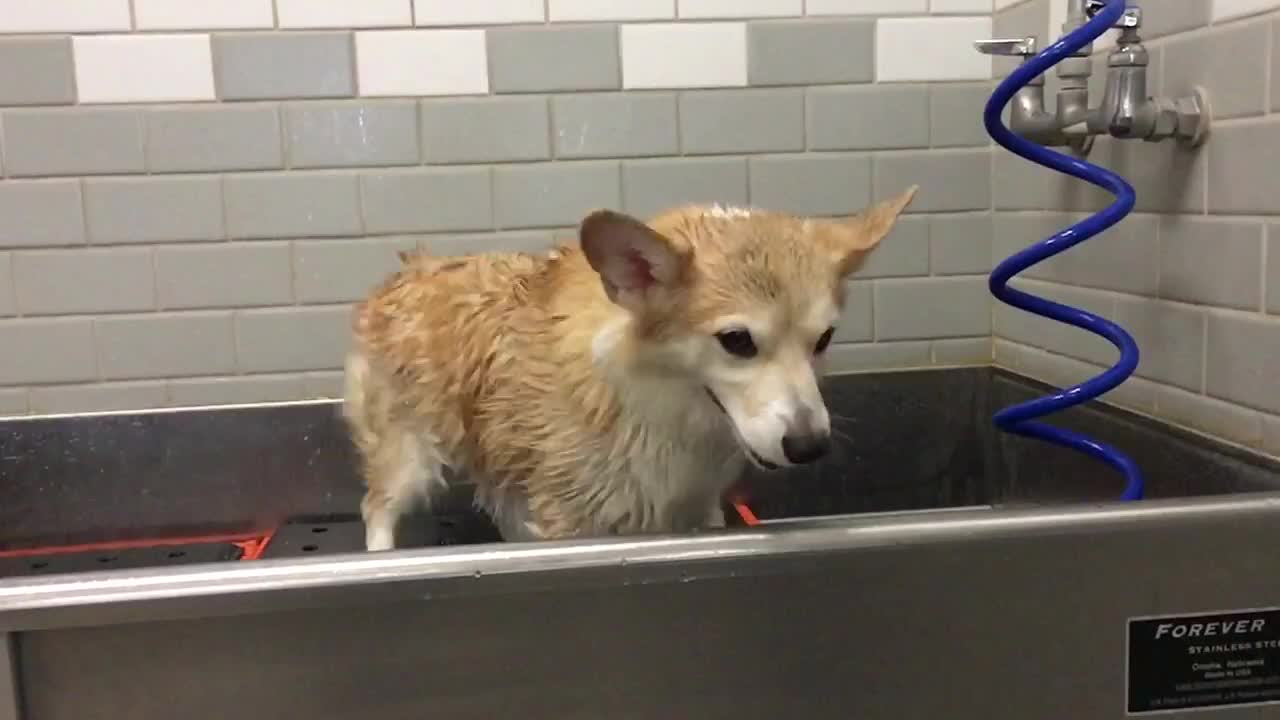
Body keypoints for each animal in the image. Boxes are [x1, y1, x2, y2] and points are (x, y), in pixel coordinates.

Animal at [345, 184, 916, 548]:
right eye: (736, 341)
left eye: (824, 338)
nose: (809, 445)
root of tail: (408, 270)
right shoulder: (572, 520)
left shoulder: (697, 509)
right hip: (410, 458)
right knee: (377, 509)